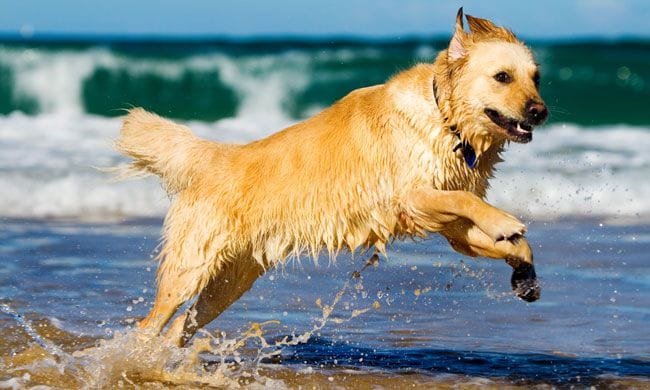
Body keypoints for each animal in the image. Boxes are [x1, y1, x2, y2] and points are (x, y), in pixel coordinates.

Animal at [115, 8, 540, 348]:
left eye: (535, 77)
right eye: (503, 76)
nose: (540, 111)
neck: (446, 120)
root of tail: (216, 155)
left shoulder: (453, 230)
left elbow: (503, 238)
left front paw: (523, 271)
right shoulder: (409, 196)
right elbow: (464, 199)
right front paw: (504, 223)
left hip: (230, 282)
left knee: (179, 327)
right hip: (190, 269)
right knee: (151, 324)